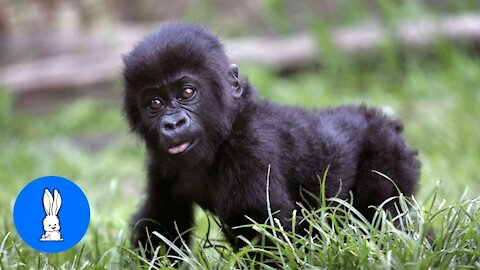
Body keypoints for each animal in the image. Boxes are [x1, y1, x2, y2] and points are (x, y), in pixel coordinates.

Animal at [123, 22, 420, 252]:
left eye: (187, 92)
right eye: (155, 103)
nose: (173, 124)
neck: (226, 131)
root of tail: (386, 122)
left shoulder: (251, 146)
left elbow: (263, 229)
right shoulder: (161, 164)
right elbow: (161, 222)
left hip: (388, 155)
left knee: (383, 220)